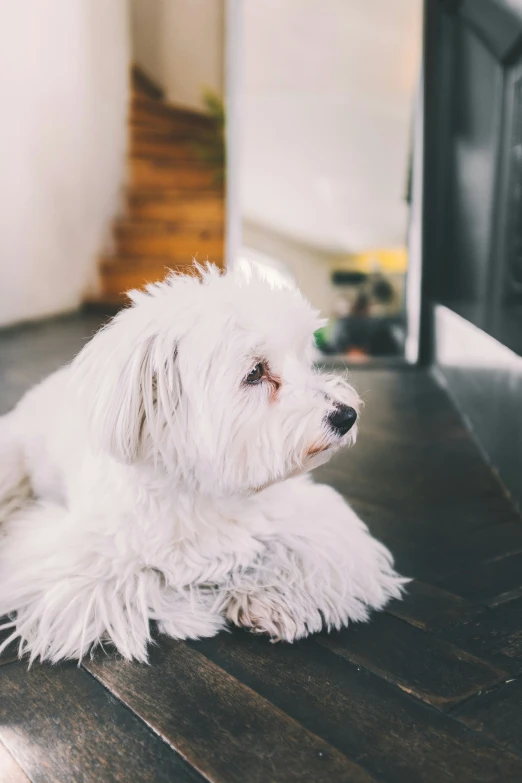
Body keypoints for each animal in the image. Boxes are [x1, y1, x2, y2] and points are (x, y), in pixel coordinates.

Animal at [0, 264, 404, 660]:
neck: (204, 489)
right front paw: (196, 613)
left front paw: (269, 598)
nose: (347, 415)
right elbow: (144, 580)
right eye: (255, 372)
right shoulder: (75, 565)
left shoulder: (314, 521)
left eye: (303, 359)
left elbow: (306, 551)